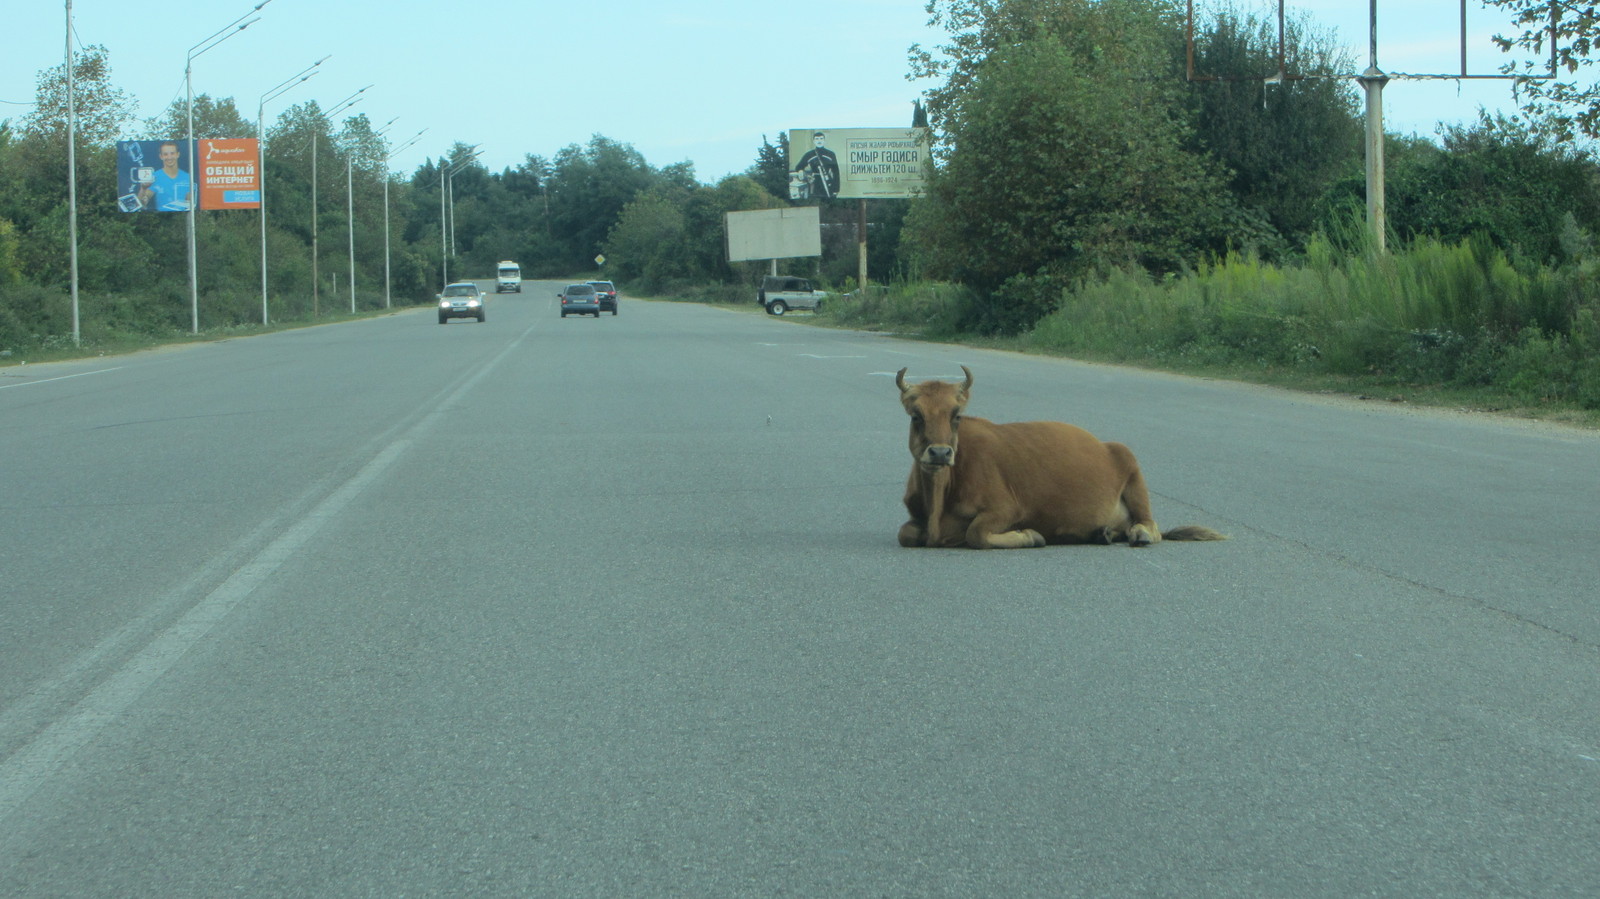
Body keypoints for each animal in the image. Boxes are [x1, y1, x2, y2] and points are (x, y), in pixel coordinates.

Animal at [902, 364, 1222, 547]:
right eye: (916, 416)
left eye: (956, 416)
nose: (940, 453)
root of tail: (1107, 446)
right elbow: (906, 533)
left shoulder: (1006, 509)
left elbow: (976, 534)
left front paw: (1030, 536)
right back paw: (1101, 534)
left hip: (1132, 470)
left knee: (1150, 527)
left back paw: (1136, 534)